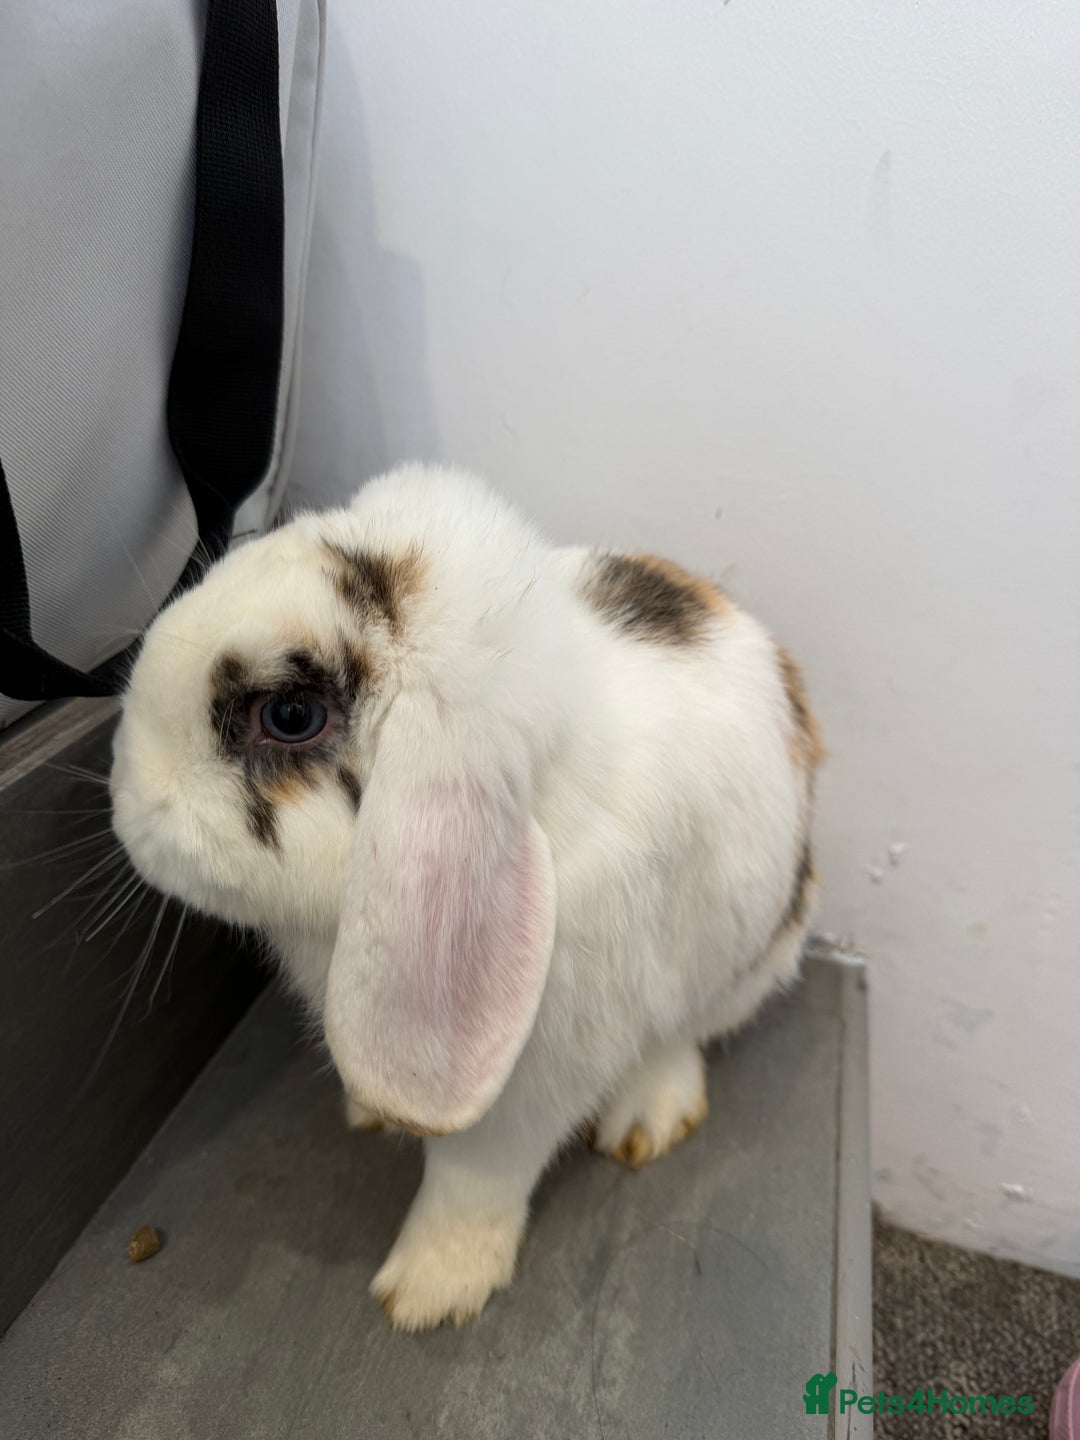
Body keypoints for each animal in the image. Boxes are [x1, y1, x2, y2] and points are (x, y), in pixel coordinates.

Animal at [110, 463, 824, 1331]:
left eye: (289, 714)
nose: (124, 797)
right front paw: (369, 1108)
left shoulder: (531, 1083)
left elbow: (473, 1183)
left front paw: (427, 1291)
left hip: (756, 955)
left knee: (682, 1033)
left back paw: (648, 1115)